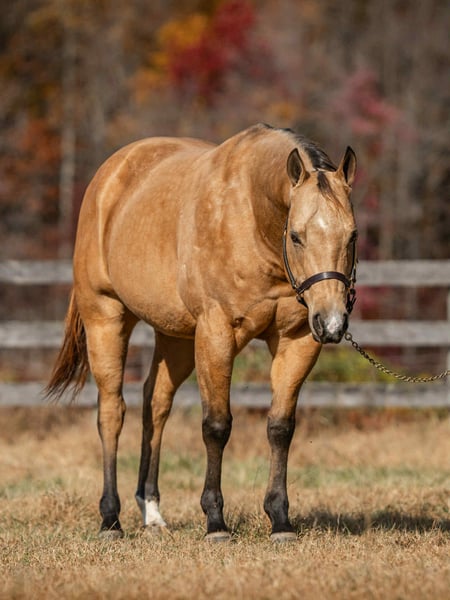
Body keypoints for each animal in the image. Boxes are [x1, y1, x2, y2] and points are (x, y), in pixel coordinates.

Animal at [46, 123, 357, 542]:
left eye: (352, 236)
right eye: (296, 235)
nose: (333, 323)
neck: (251, 219)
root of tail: (109, 175)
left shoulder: (298, 340)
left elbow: (280, 427)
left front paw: (280, 520)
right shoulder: (216, 334)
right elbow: (216, 425)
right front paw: (215, 521)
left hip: (175, 337)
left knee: (155, 406)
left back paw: (152, 513)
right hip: (105, 318)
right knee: (112, 412)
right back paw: (110, 519)